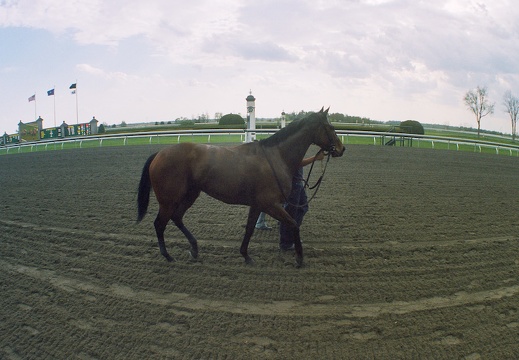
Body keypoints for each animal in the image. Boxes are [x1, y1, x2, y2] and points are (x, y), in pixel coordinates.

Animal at [138, 105, 346, 266]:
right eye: (330, 126)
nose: (341, 148)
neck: (276, 156)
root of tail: (160, 153)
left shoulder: (258, 204)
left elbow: (249, 228)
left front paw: (246, 255)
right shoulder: (271, 204)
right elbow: (294, 224)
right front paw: (299, 259)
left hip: (190, 194)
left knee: (177, 217)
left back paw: (194, 249)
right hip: (168, 200)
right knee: (159, 224)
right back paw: (168, 256)